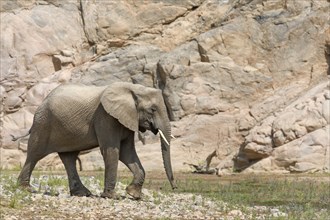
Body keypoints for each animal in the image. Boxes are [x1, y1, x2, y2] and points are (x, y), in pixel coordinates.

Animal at [17, 82, 178, 199]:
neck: (133, 89)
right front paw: (112, 197)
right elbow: (112, 151)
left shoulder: (125, 119)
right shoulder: (105, 117)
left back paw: (82, 193)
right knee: (35, 153)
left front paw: (134, 195)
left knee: (69, 158)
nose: (175, 188)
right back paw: (25, 188)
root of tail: (43, 101)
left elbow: (127, 153)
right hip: (43, 123)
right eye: (153, 110)